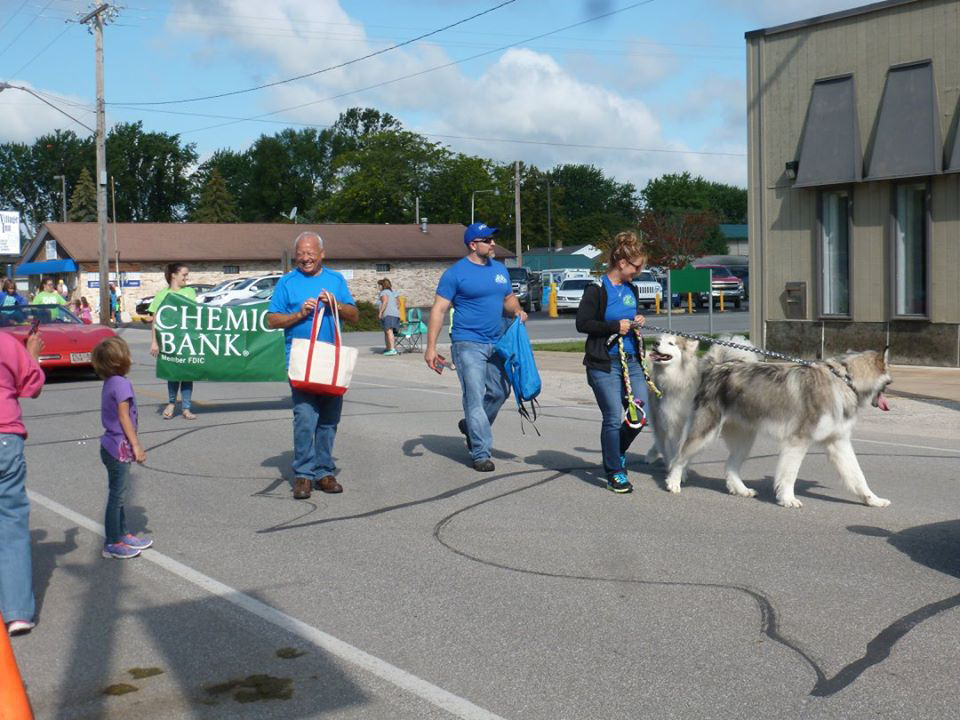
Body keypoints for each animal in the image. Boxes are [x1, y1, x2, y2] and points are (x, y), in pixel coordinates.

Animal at [644, 334, 756, 470]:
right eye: (660, 340)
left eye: (671, 343)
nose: (655, 343)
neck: (679, 380)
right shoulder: (671, 422)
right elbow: (673, 448)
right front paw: (673, 467)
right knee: (660, 439)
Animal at [660, 348, 892, 506]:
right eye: (888, 383)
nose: (888, 400)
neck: (844, 380)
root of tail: (716, 367)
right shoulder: (798, 441)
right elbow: (789, 474)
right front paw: (788, 499)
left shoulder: (838, 443)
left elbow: (858, 476)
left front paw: (873, 500)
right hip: (704, 433)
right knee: (679, 457)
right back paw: (673, 482)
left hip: (745, 439)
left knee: (730, 466)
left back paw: (741, 490)